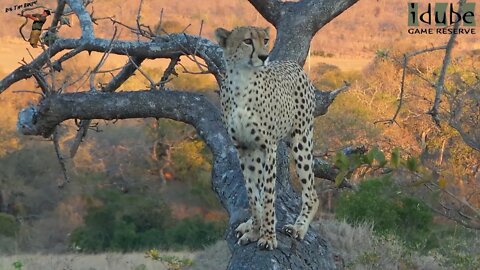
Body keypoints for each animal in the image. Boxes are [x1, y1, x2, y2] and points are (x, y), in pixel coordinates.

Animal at [215, 26, 318, 250]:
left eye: (265, 40)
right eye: (247, 41)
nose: (264, 56)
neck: (242, 80)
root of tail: (292, 64)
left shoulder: (267, 147)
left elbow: (269, 195)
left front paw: (268, 236)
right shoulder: (244, 148)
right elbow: (253, 195)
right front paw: (254, 230)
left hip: (301, 140)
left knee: (311, 193)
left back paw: (298, 228)